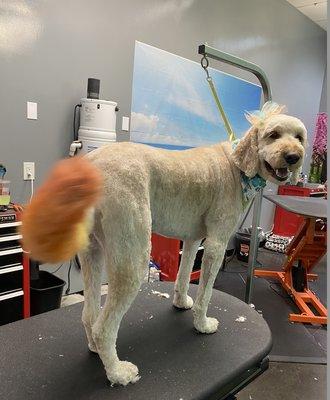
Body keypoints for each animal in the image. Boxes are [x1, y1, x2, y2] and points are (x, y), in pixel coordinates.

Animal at [22, 101, 306, 386]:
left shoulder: (193, 239)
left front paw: (181, 303)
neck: (237, 165)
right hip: (133, 256)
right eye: (273, 135)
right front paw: (202, 325)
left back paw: (96, 349)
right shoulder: (216, 244)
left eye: (299, 137)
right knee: (104, 326)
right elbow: (205, 294)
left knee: (90, 315)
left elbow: (184, 275)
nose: (294, 157)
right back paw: (117, 371)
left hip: (92, 252)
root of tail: (90, 165)